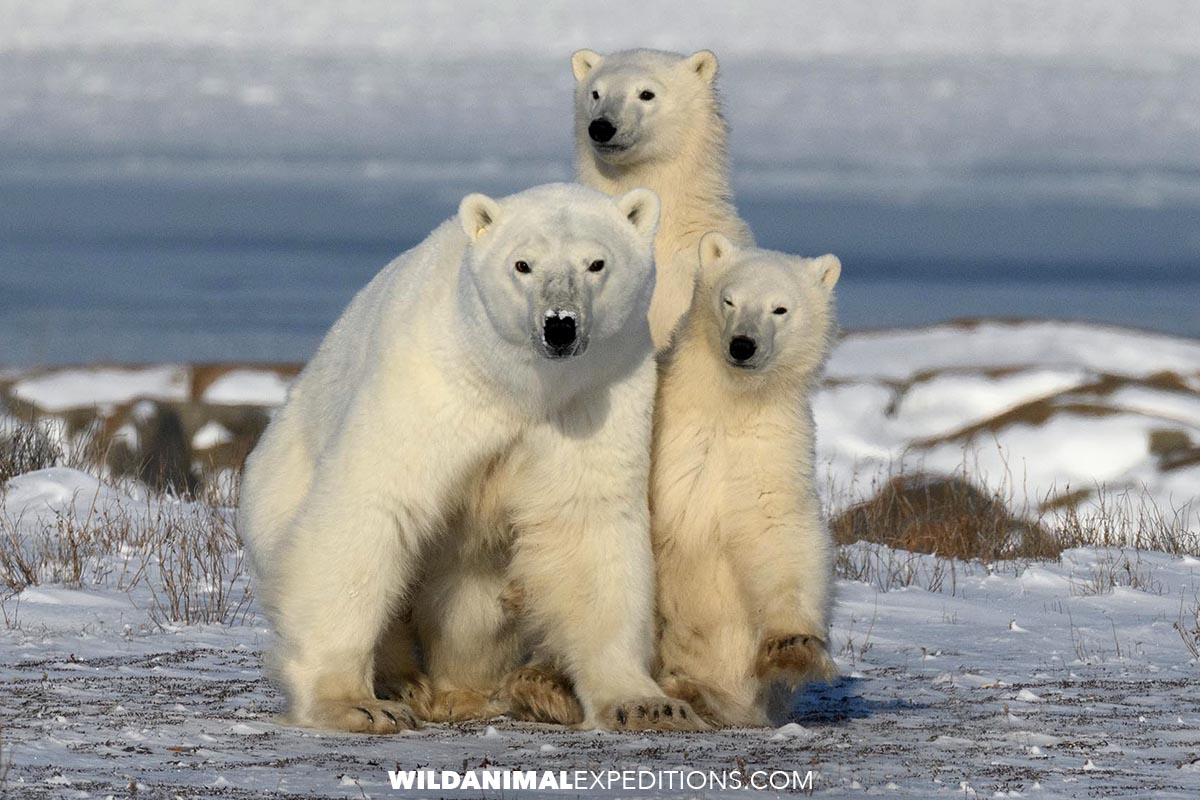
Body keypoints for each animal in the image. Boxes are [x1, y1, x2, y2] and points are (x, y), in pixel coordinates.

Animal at [238, 182, 704, 733]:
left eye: (596, 263)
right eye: (522, 264)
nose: (560, 327)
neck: (516, 386)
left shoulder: (593, 396)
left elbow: (584, 527)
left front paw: (648, 704)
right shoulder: (432, 384)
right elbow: (374, 506)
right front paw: (356, 704)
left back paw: (515, 689)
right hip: (277, 482)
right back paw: (407, 684)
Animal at [652, 233, 842, 727]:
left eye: (780, 308)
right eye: (729, 299)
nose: (742, 345)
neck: (729, 404)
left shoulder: (770, 448)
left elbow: (777, 530)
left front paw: (793, 646)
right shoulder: (668, 439)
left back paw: (697, 693)